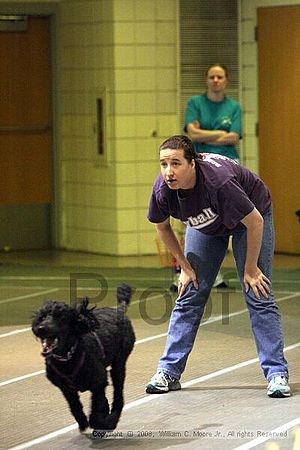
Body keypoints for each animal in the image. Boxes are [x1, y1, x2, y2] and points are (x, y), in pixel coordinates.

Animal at [31, 284, 135, 434]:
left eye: (60, 317)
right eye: (42, 316)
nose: (41, 328)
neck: (68, 357)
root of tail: (119, 310)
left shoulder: (99, 382)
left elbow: (97, 407)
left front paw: (101, 423)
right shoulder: (67, 389)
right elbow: (75, 406)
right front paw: (83, 421)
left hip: (119, 364)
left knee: (118, 395)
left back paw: (112, 419)